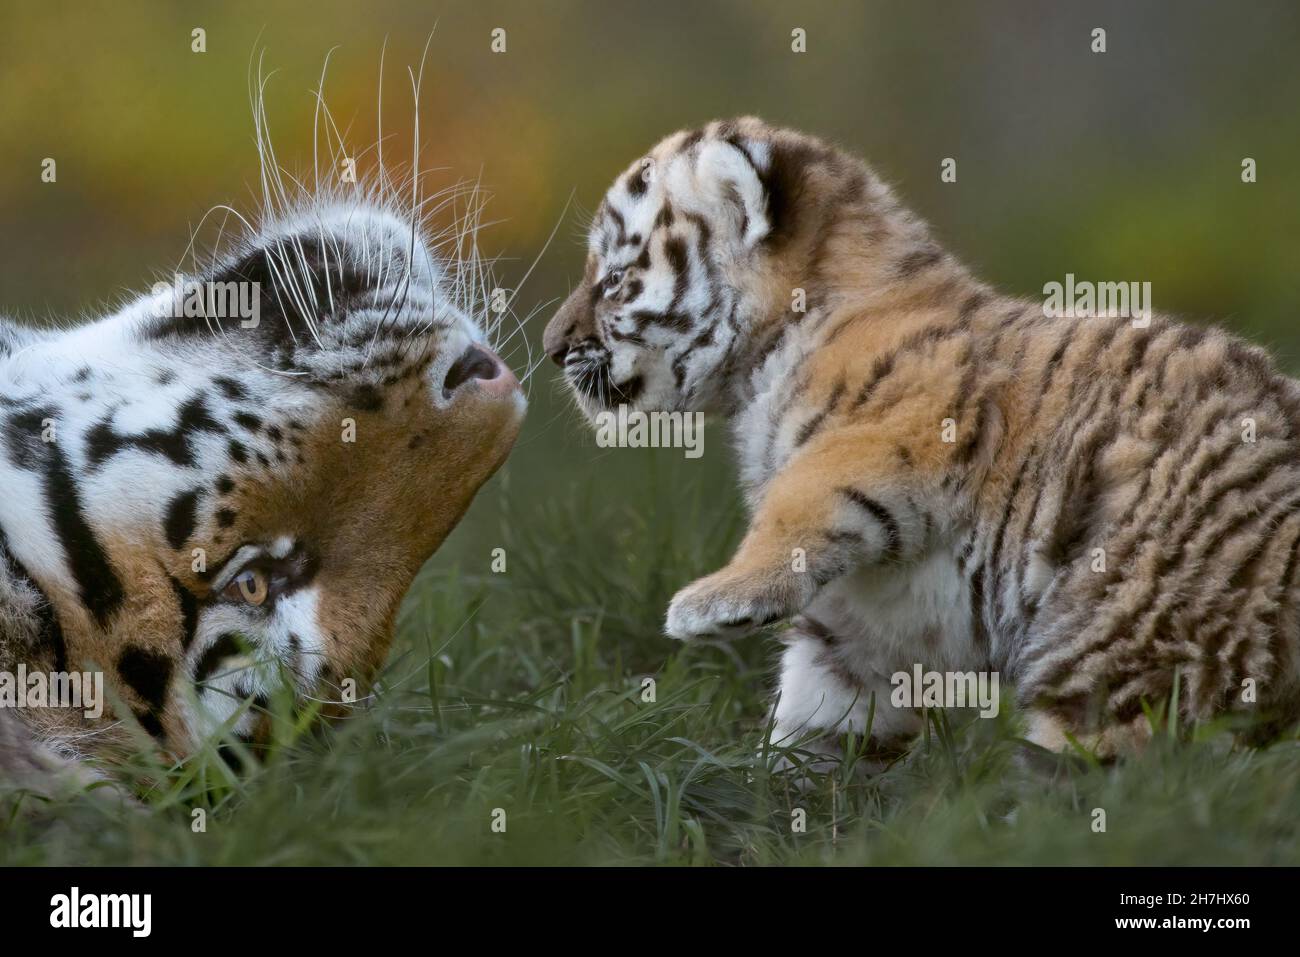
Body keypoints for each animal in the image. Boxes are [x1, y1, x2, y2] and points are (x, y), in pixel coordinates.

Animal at [543, 115, 1300, 759]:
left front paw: (713, 603)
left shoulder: (887, 437)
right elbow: (821, 706)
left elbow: (795, 504)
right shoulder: (866, 617)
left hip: (1129, 634)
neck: (763, 364)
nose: (550, 348)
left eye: (615, 279)